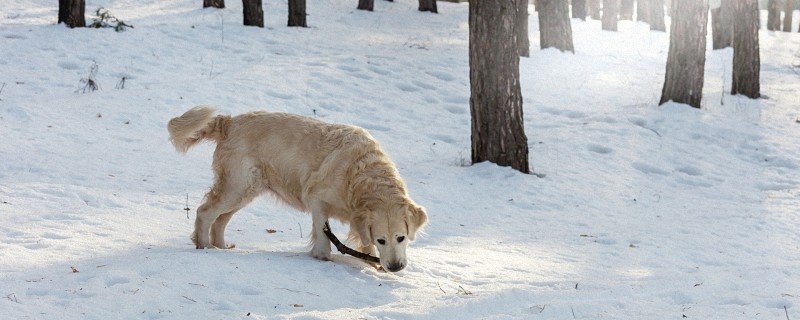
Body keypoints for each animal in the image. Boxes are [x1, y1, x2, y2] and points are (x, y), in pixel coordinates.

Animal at [169, 106, 428, 272]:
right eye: (382, 240)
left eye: (401, 237)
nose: (395, 267)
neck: (359, 174)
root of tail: (229, 122)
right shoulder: (316, 198)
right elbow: (323, 232)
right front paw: (323, 256)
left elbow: (361, 238)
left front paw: (371, 260)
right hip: (237, 186)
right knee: (205, 212)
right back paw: (204, 247)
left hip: (246, 190)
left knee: (220, 220)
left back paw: (221, 248)